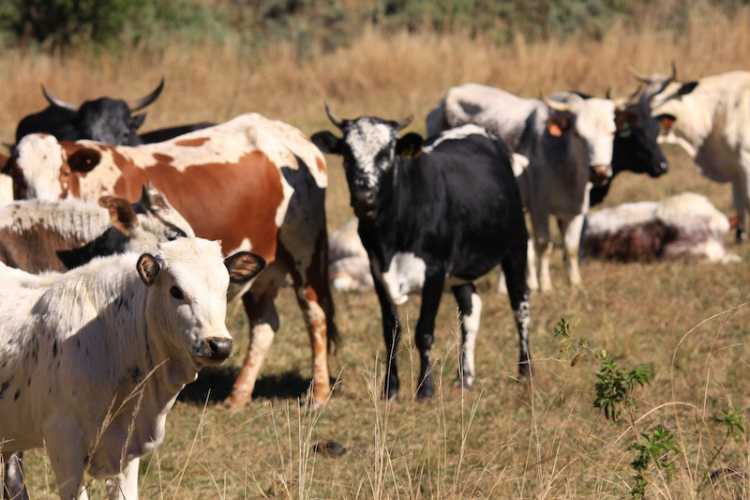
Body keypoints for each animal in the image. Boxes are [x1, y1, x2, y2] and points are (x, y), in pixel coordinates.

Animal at [9, 113, 337, 408]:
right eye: (17, 176)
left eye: (63, 172)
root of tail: (291, 137)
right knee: (265, 325)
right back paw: (238, 396)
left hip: (304, 254)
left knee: (315, 315)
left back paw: (319, 393)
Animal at [312, 111, 531, 399]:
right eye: (347, 153)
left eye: (387, 153)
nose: (364, 195)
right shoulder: (377, 271)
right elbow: (391, 331)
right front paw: (390, 388)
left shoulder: (434, 271)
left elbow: (424, 331)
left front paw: (425, 389)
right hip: (460, 271)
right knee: (470, 311)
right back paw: (464, 378)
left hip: (516, 247)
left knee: (520, 307)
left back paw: (525, 371)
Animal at [427, 84, 616, 291]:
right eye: (578, 134)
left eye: (612, 132)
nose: (599, 171)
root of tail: (447, 99)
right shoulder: (539, 208)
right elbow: (544, 245)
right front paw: (545, 286)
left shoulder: (576, 210)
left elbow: (571, 248)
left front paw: (575, 283)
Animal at [633, 65, 750, 242]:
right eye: (641, 103)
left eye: (656, 101)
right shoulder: (736, 168)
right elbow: (739, 202)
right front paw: (740, 237)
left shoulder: (745, 160)